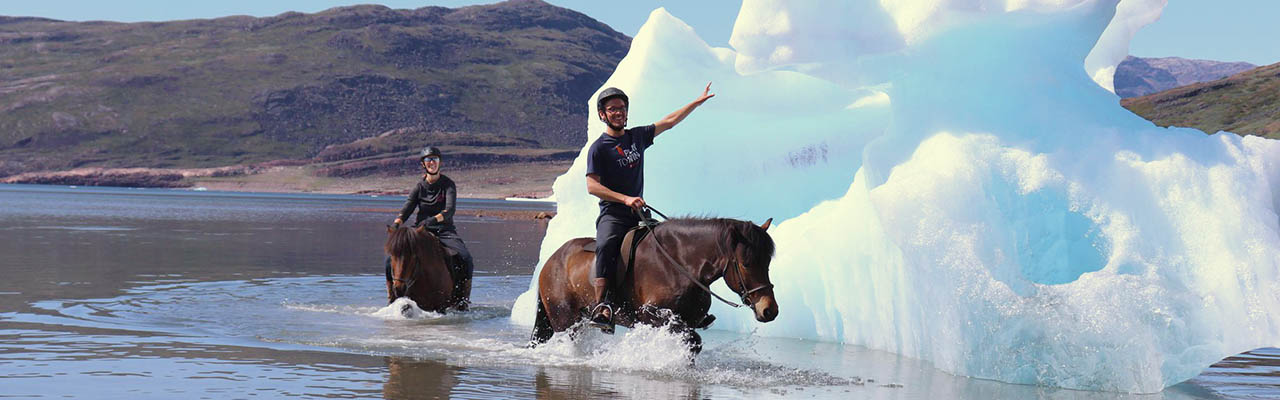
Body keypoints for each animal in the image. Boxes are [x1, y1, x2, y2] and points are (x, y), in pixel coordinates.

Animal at [529, 215, 778, 353]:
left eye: (767, 262)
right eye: (746, 264)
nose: (769, 310)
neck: (680, 264)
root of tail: (550, 261)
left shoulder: (686, 320)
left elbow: (692, 344)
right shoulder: (652, 314)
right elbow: (693, 340)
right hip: (565, 321)